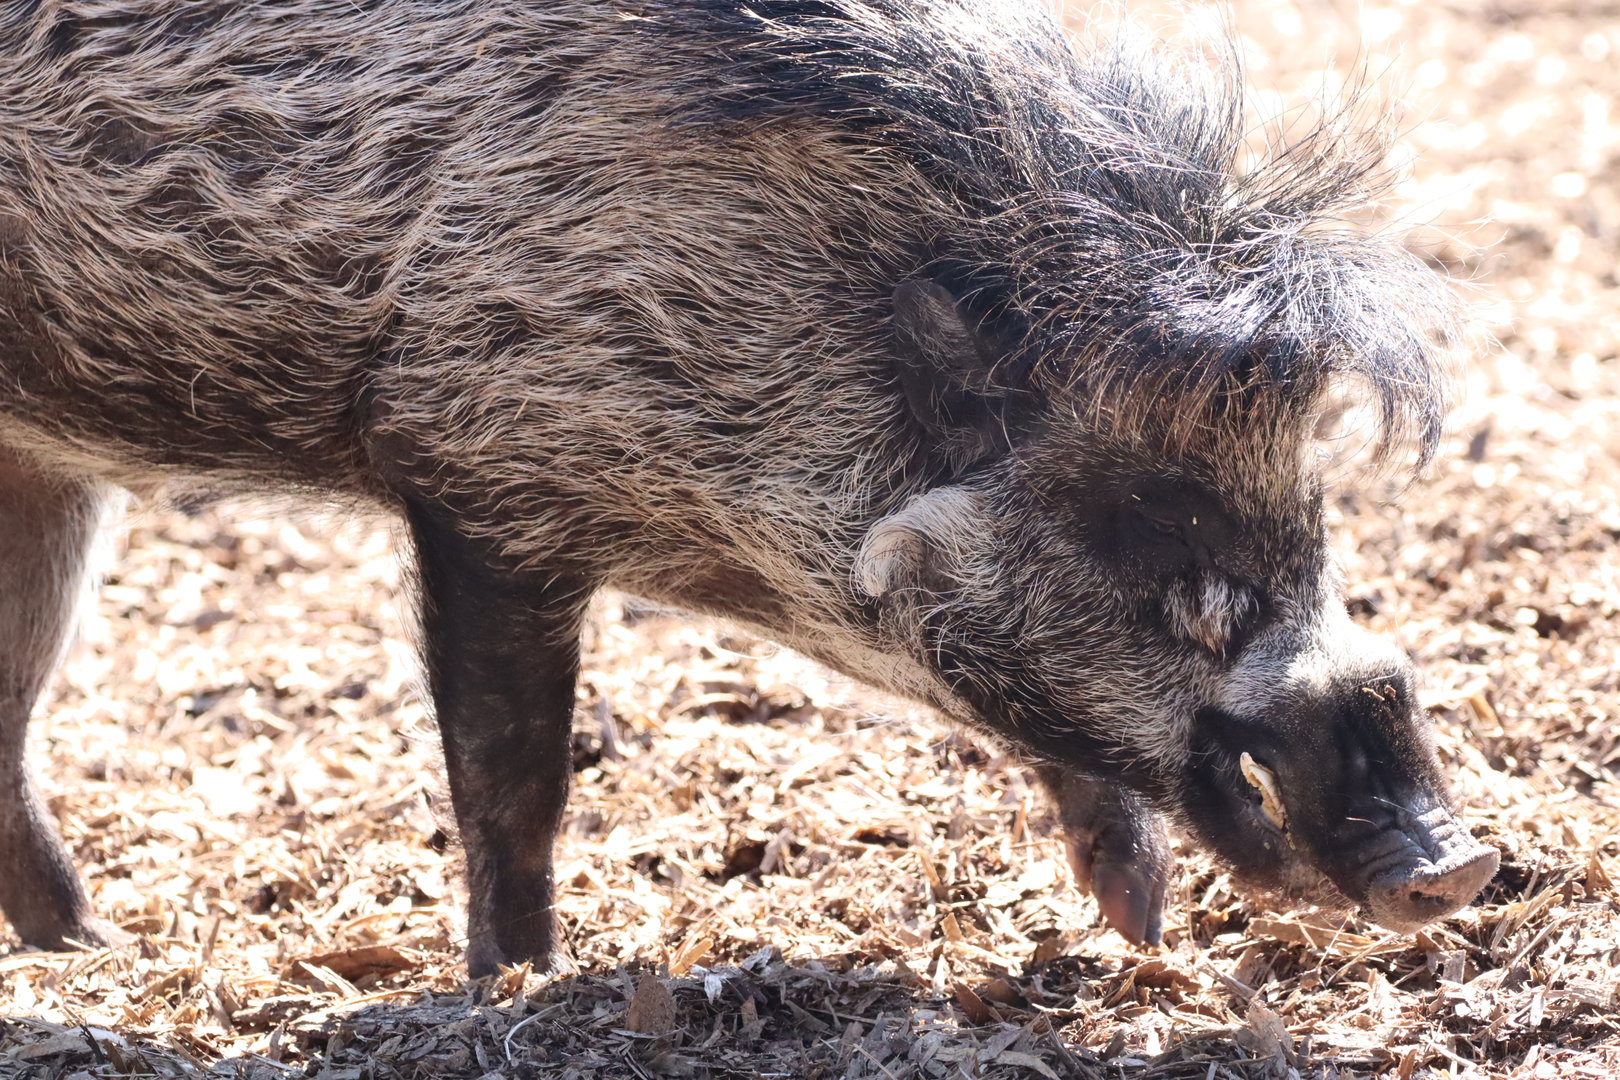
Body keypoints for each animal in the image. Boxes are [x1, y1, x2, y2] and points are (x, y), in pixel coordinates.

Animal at [0, 0, 1497, 976]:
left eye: (1311, 527)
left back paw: (92, 953)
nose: (1463, 866)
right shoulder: (480, 478)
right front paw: (518, 986)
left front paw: (1143, 930)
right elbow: (513, 780)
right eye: (1173, 562)